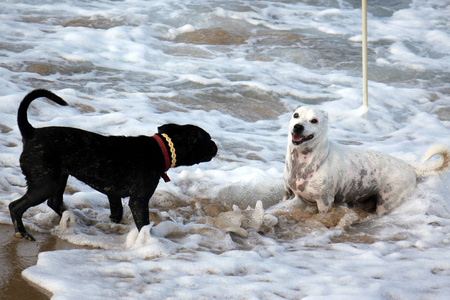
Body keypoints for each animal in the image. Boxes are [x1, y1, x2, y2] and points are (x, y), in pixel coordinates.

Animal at [7, 89, 217, 241]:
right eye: (208, 139)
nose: (216, 146)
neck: (159, 150)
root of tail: (32, 133)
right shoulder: (139, 200)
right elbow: (143, 223)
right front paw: (148, 240)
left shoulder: (113, 194)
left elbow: (117, 212)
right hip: (45, 183)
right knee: (15, 206)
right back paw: (22, 232)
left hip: (59, 178)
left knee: (54, 202)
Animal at [284, 106, 448, 214]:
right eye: (296, 115)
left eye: (314, 120)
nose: (298, 127)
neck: (304, 163)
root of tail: (410, 167)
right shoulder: (287, 193)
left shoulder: (324, 203)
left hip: (387, 202)